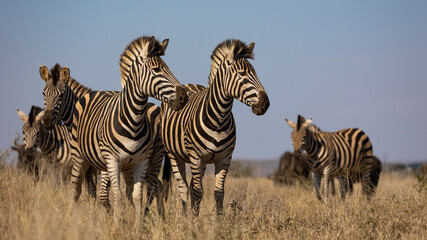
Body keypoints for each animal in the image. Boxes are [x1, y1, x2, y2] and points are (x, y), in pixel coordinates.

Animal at [70, 34, 187, 222]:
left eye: (168, 68)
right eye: (156, 70)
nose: (184, 97)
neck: (134, 121)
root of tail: (94, 91)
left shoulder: (141, 160)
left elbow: (136, 195)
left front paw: (138, 224)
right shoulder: (113, 160)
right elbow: (117, 195)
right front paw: (117, 224)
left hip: (143, 160)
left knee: (147, 187)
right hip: (79, 156)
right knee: (75, 189)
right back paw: (69, 217)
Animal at [160, 39, 270, 216]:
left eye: (255, 72)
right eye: (242, 74)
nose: (265, 104)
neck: (219, 118)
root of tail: (189, 84)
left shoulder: (224, 158)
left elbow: (218, 193)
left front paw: (219, 221)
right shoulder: (196, 157)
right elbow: (198, 192)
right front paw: (195, 222)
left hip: (202, 162)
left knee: (192, 188)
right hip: (174, 155)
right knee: (184, 188)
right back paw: (184, 218)